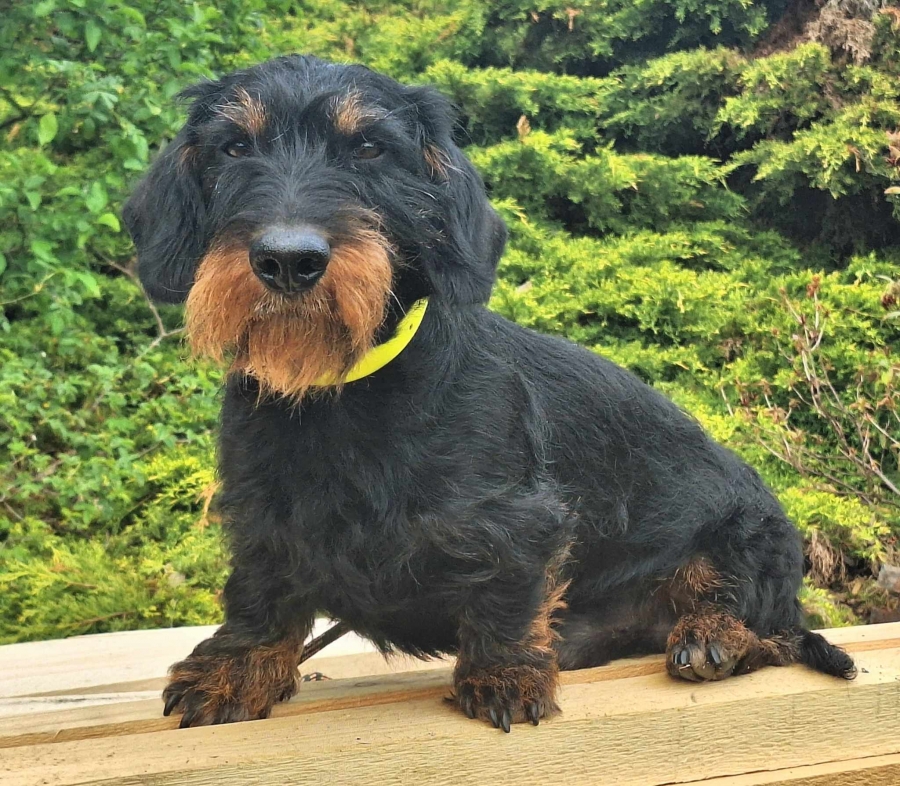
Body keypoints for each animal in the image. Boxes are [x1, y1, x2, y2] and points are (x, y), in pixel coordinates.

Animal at [123, 55, 856, 732]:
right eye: (233, 147)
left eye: (369, 147)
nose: (287, 260)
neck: (342, 392)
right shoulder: (265, 518)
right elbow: (260, 594)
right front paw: (235, 669)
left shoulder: (522, 521)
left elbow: (507, 593)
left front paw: (505, 674)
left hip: (749, 537)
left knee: (768, 629)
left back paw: (714, 637)